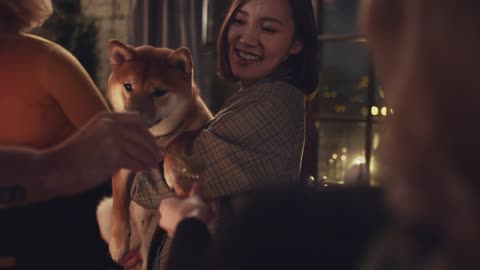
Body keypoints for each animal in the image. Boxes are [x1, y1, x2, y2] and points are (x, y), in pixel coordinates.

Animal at [95, 40, 212, 270]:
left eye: (159, 92)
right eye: (128, 86)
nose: (132, 116)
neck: (154, 138)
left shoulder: (205, 123)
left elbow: (180, 138)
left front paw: (172, 168)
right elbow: (119, 200)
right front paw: (117, 242)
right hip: (103, 211)